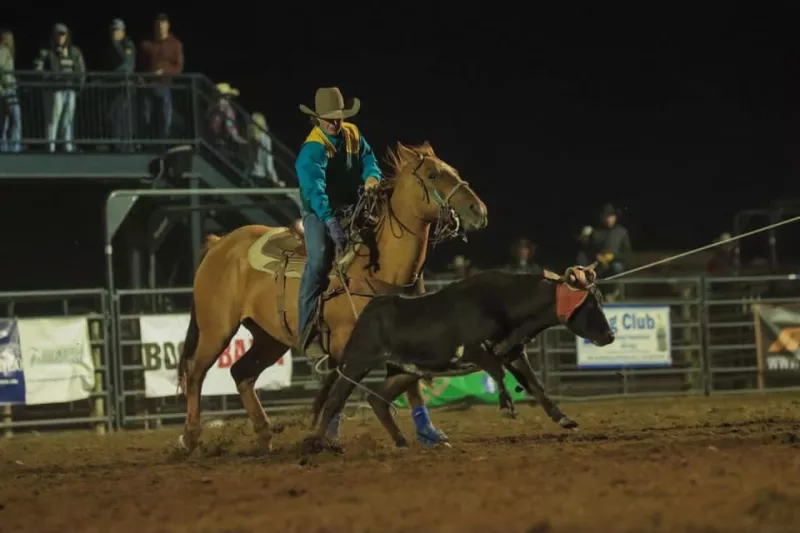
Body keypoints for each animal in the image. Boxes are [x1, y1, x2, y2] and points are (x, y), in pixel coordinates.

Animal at [176, 141, 488, 454]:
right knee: (195, 373)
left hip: (269, 338)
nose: (479, 210)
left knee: (242, 373)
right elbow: (341, 387)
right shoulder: (344, 344)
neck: (377, 267)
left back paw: (264, 435)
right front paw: (327, 437)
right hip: (216, 330)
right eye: (433, 175)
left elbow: (411, 387)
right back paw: (190, 436)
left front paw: (429, 434)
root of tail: (219, 245)